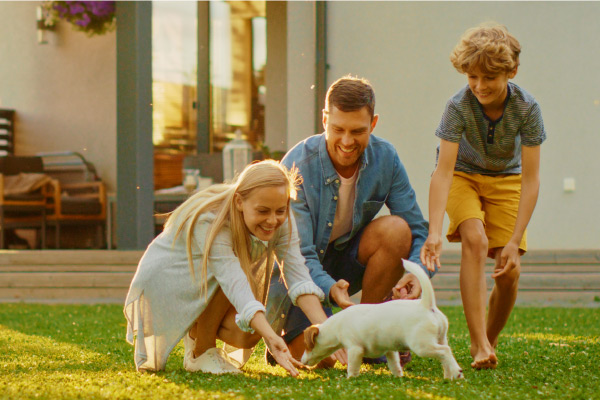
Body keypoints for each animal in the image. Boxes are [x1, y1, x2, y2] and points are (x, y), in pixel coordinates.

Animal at [300, 260, 464, 378]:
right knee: (445, 356)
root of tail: (426, 305)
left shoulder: (355, 349)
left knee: (445, 351)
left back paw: (457, 373)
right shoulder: (390, 350)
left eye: (307, 346)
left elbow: (352, 367)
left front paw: (350, 378)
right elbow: (394, 364)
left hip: (422, 345)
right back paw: (449, 376)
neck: (336, 326)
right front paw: (398, 377)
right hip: (440, 338)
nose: (301, 362)